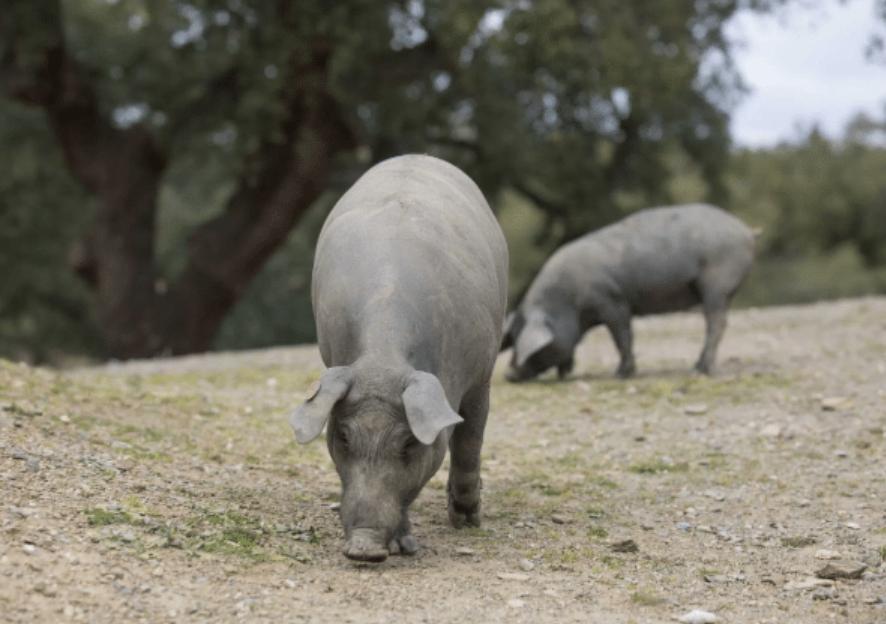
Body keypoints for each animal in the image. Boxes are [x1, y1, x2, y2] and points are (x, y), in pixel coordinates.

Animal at [292, 154, 510, 564]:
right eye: (343, 436)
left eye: (408, 443)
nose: (364, 548)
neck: (383, 358)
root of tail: (419, 157)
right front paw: (402, 546)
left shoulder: (481, 376)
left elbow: (470, 440)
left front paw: (467, 522)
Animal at [502, 205, 752, 380]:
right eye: (512, 337)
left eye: (522, 343)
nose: (509, 375)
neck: (570, 305)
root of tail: (745, 230)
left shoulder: (612, 301)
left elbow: (622, 336)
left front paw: (621, 374)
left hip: (716, 283)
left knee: (716, 323)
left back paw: (700, 370)